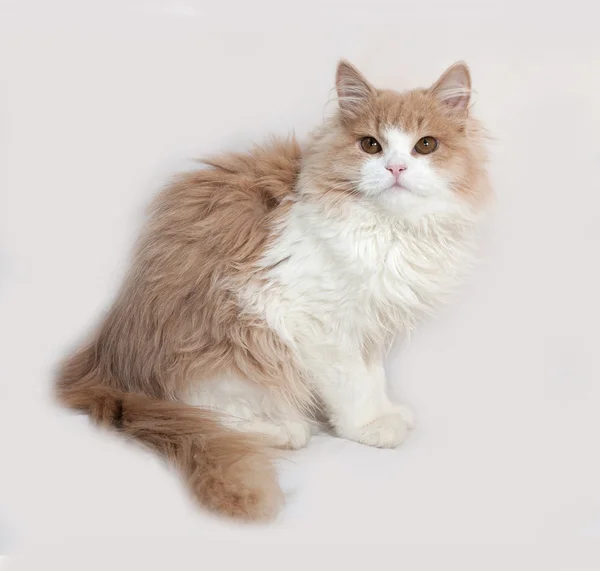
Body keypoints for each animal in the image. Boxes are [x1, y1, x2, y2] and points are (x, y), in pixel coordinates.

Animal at [54, 59, 490, 524]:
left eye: (425, 145)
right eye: (371, 145)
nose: (396, 169)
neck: (389, 229)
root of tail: (108, 371)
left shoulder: (368, 322)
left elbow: (373, 376)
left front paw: (387, 411)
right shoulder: (312, 321)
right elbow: (353, 384)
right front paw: (368, 427)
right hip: (232, 348)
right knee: (206, 414)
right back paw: (284, 429)